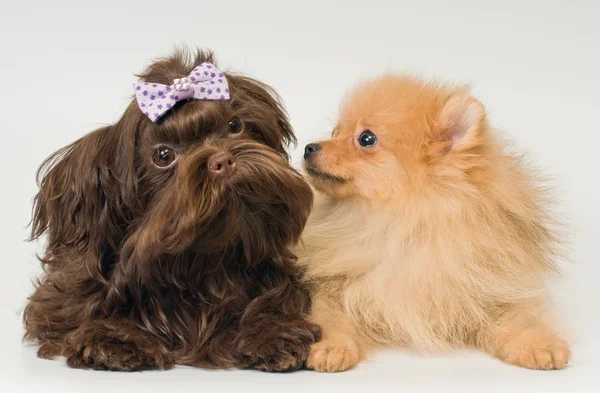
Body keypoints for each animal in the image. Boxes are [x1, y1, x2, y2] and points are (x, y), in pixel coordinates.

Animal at [25, 49, 322, 370]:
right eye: (164, 155)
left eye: (234, 126)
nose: (222, 160)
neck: (202, 265)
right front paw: (115, 337)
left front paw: (272, 332)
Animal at [298, 75, 568, 372]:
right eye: (335, 131)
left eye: (366, 139)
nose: (309, 147)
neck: (399, 225)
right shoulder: (331, 287)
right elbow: (330, 317)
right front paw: (331, 346)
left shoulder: (490, 288)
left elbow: (520, 317)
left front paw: (538, 344)